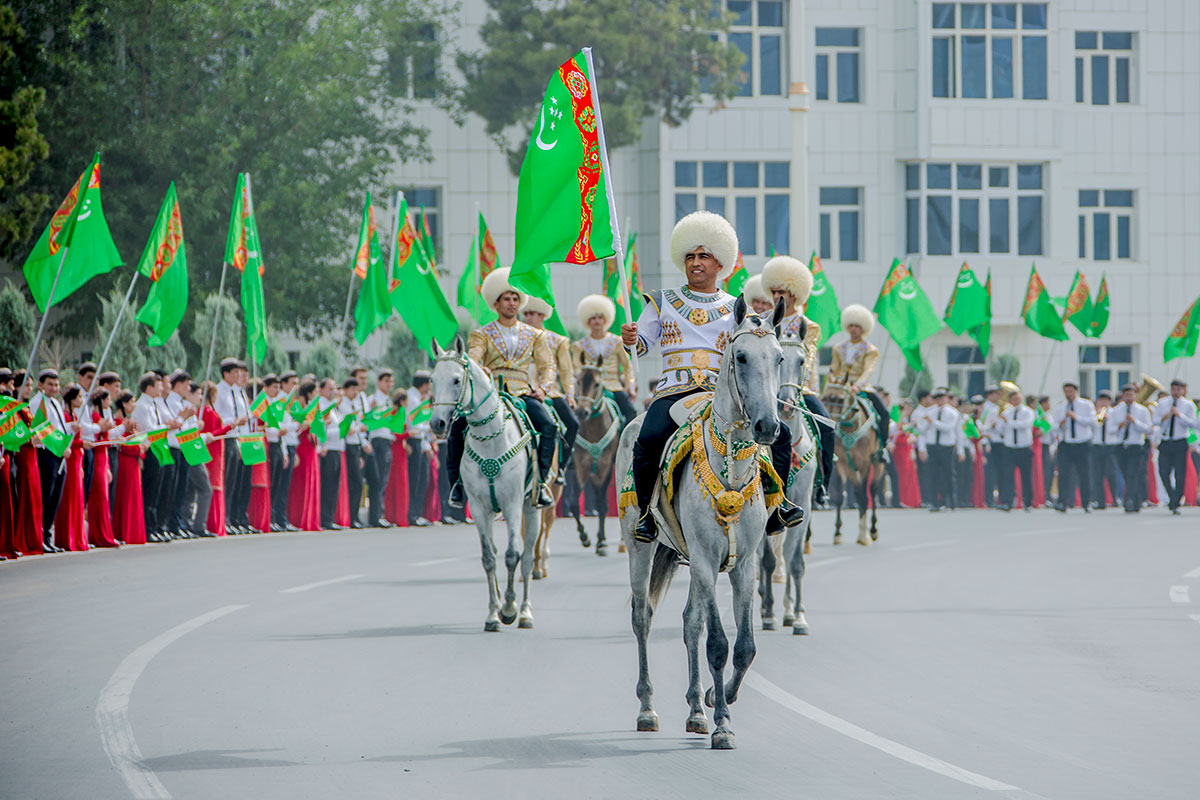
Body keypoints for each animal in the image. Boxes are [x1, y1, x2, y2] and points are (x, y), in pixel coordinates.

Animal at [429, 338, 537, 633]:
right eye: (432, 380)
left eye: (456, 380)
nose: (437, 423)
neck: (491, 441)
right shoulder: (478, 508)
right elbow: (489, 558)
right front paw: (493, 614)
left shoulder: (512, 505)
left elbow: (512, 555)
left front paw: (509, 609)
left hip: (532, 507)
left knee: (528, 557)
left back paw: (525, 612)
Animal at [571, 357, 628, 556]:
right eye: (578, 381)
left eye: (597, 384)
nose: (582, 412)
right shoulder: (580, 468)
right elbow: (574, 504)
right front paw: (585, 537)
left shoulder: (605, 467)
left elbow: (603, 505)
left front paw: (602, 542)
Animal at [619, 296, 787, 753]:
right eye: (741, 356)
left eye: (779, 357)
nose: (769, 427)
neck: (729, 469)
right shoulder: (708, 560)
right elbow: (717, 644)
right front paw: (723, 725)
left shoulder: (741, 563)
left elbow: (744, 647)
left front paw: (715, 699)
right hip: (641, 546)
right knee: (643, 616)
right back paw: (646, 709)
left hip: (690, 560)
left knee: (689, 621)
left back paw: (695, 709)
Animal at [820, 383, 888, 546]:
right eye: (824, 397)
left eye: (840, 399)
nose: (827, 422)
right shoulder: (842, 463)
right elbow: (839, 497)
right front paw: (837, 533)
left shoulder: (864, 464)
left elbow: (863, 495)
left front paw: (864, 535)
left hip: (878, 465)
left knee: (873, 491)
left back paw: (873, 530)